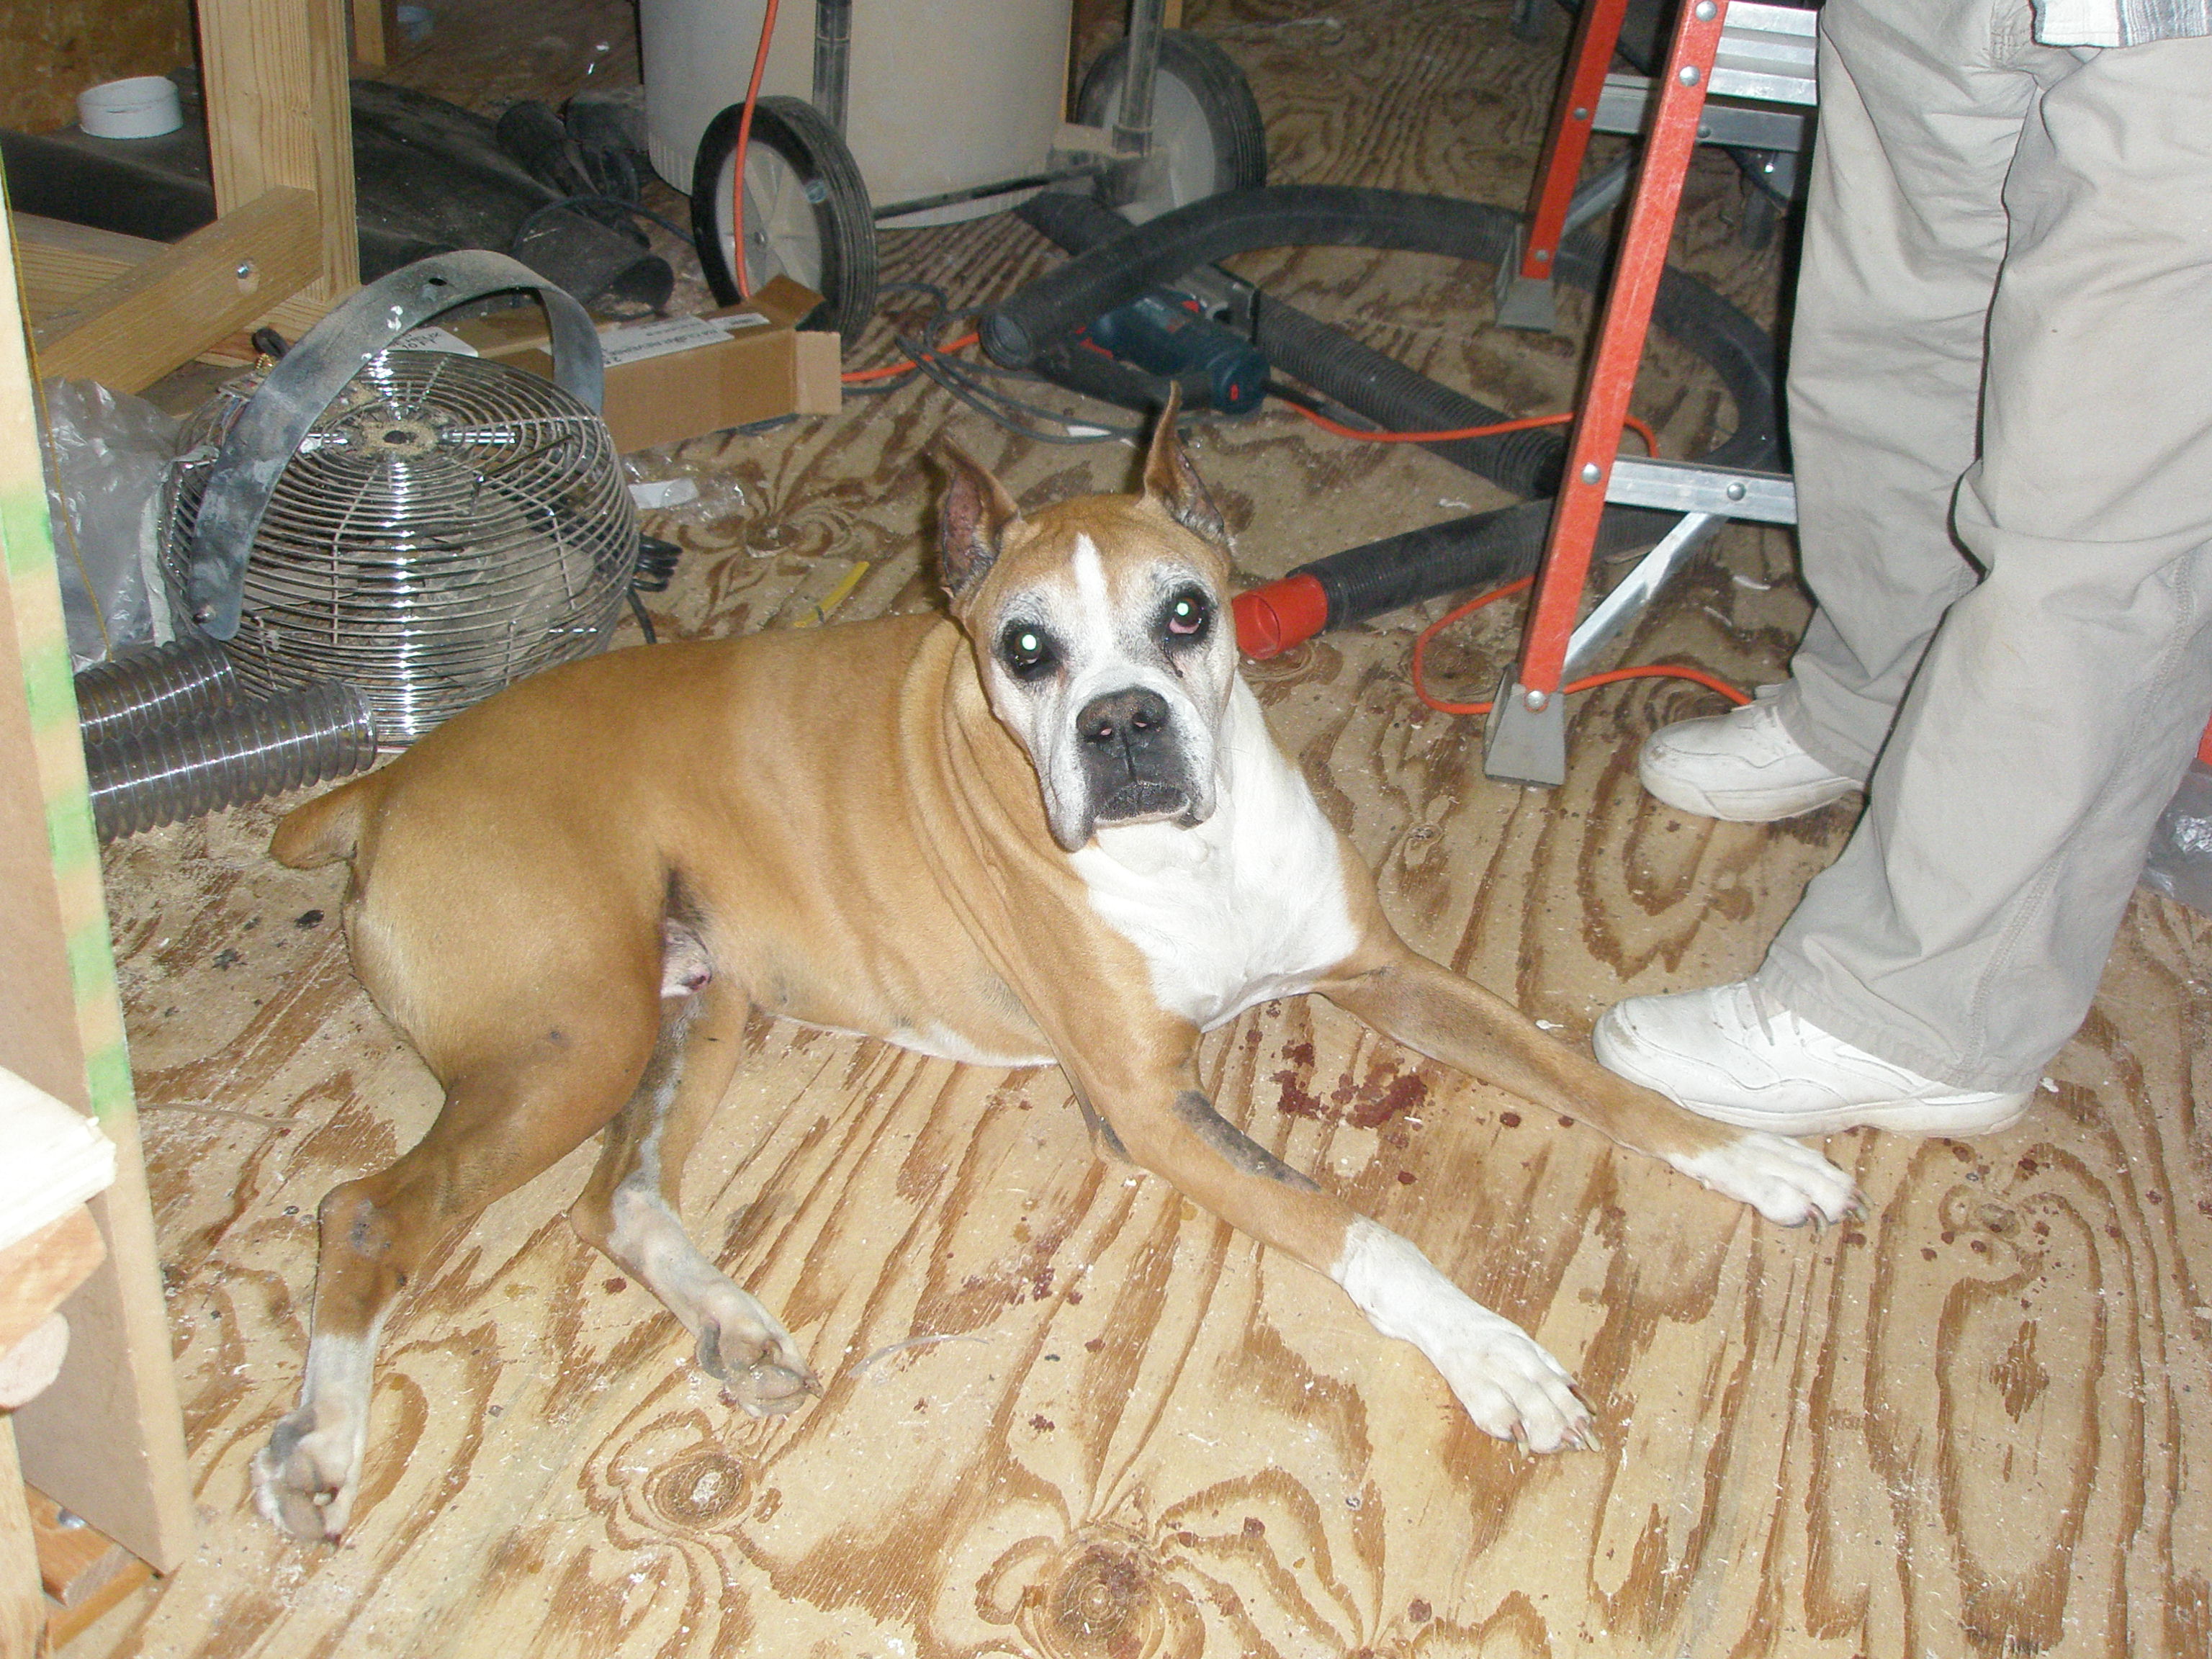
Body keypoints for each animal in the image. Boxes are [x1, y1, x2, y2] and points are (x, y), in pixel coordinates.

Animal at [251, 403, 1858, 1548]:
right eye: (1025, 650)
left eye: (1188, 614)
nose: (1124, 724)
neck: (1189, 859)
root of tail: (391, 777)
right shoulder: (1148, 1110)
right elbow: (1356, 1229)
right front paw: (1491, 1351)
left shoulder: (1389, 975)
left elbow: (1583, 1073)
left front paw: (1750, 1154)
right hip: (570, 1036)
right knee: (372, 1209)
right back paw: (322, 1441)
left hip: (691, 1009)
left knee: (617, 1199)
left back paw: (729, 1324)